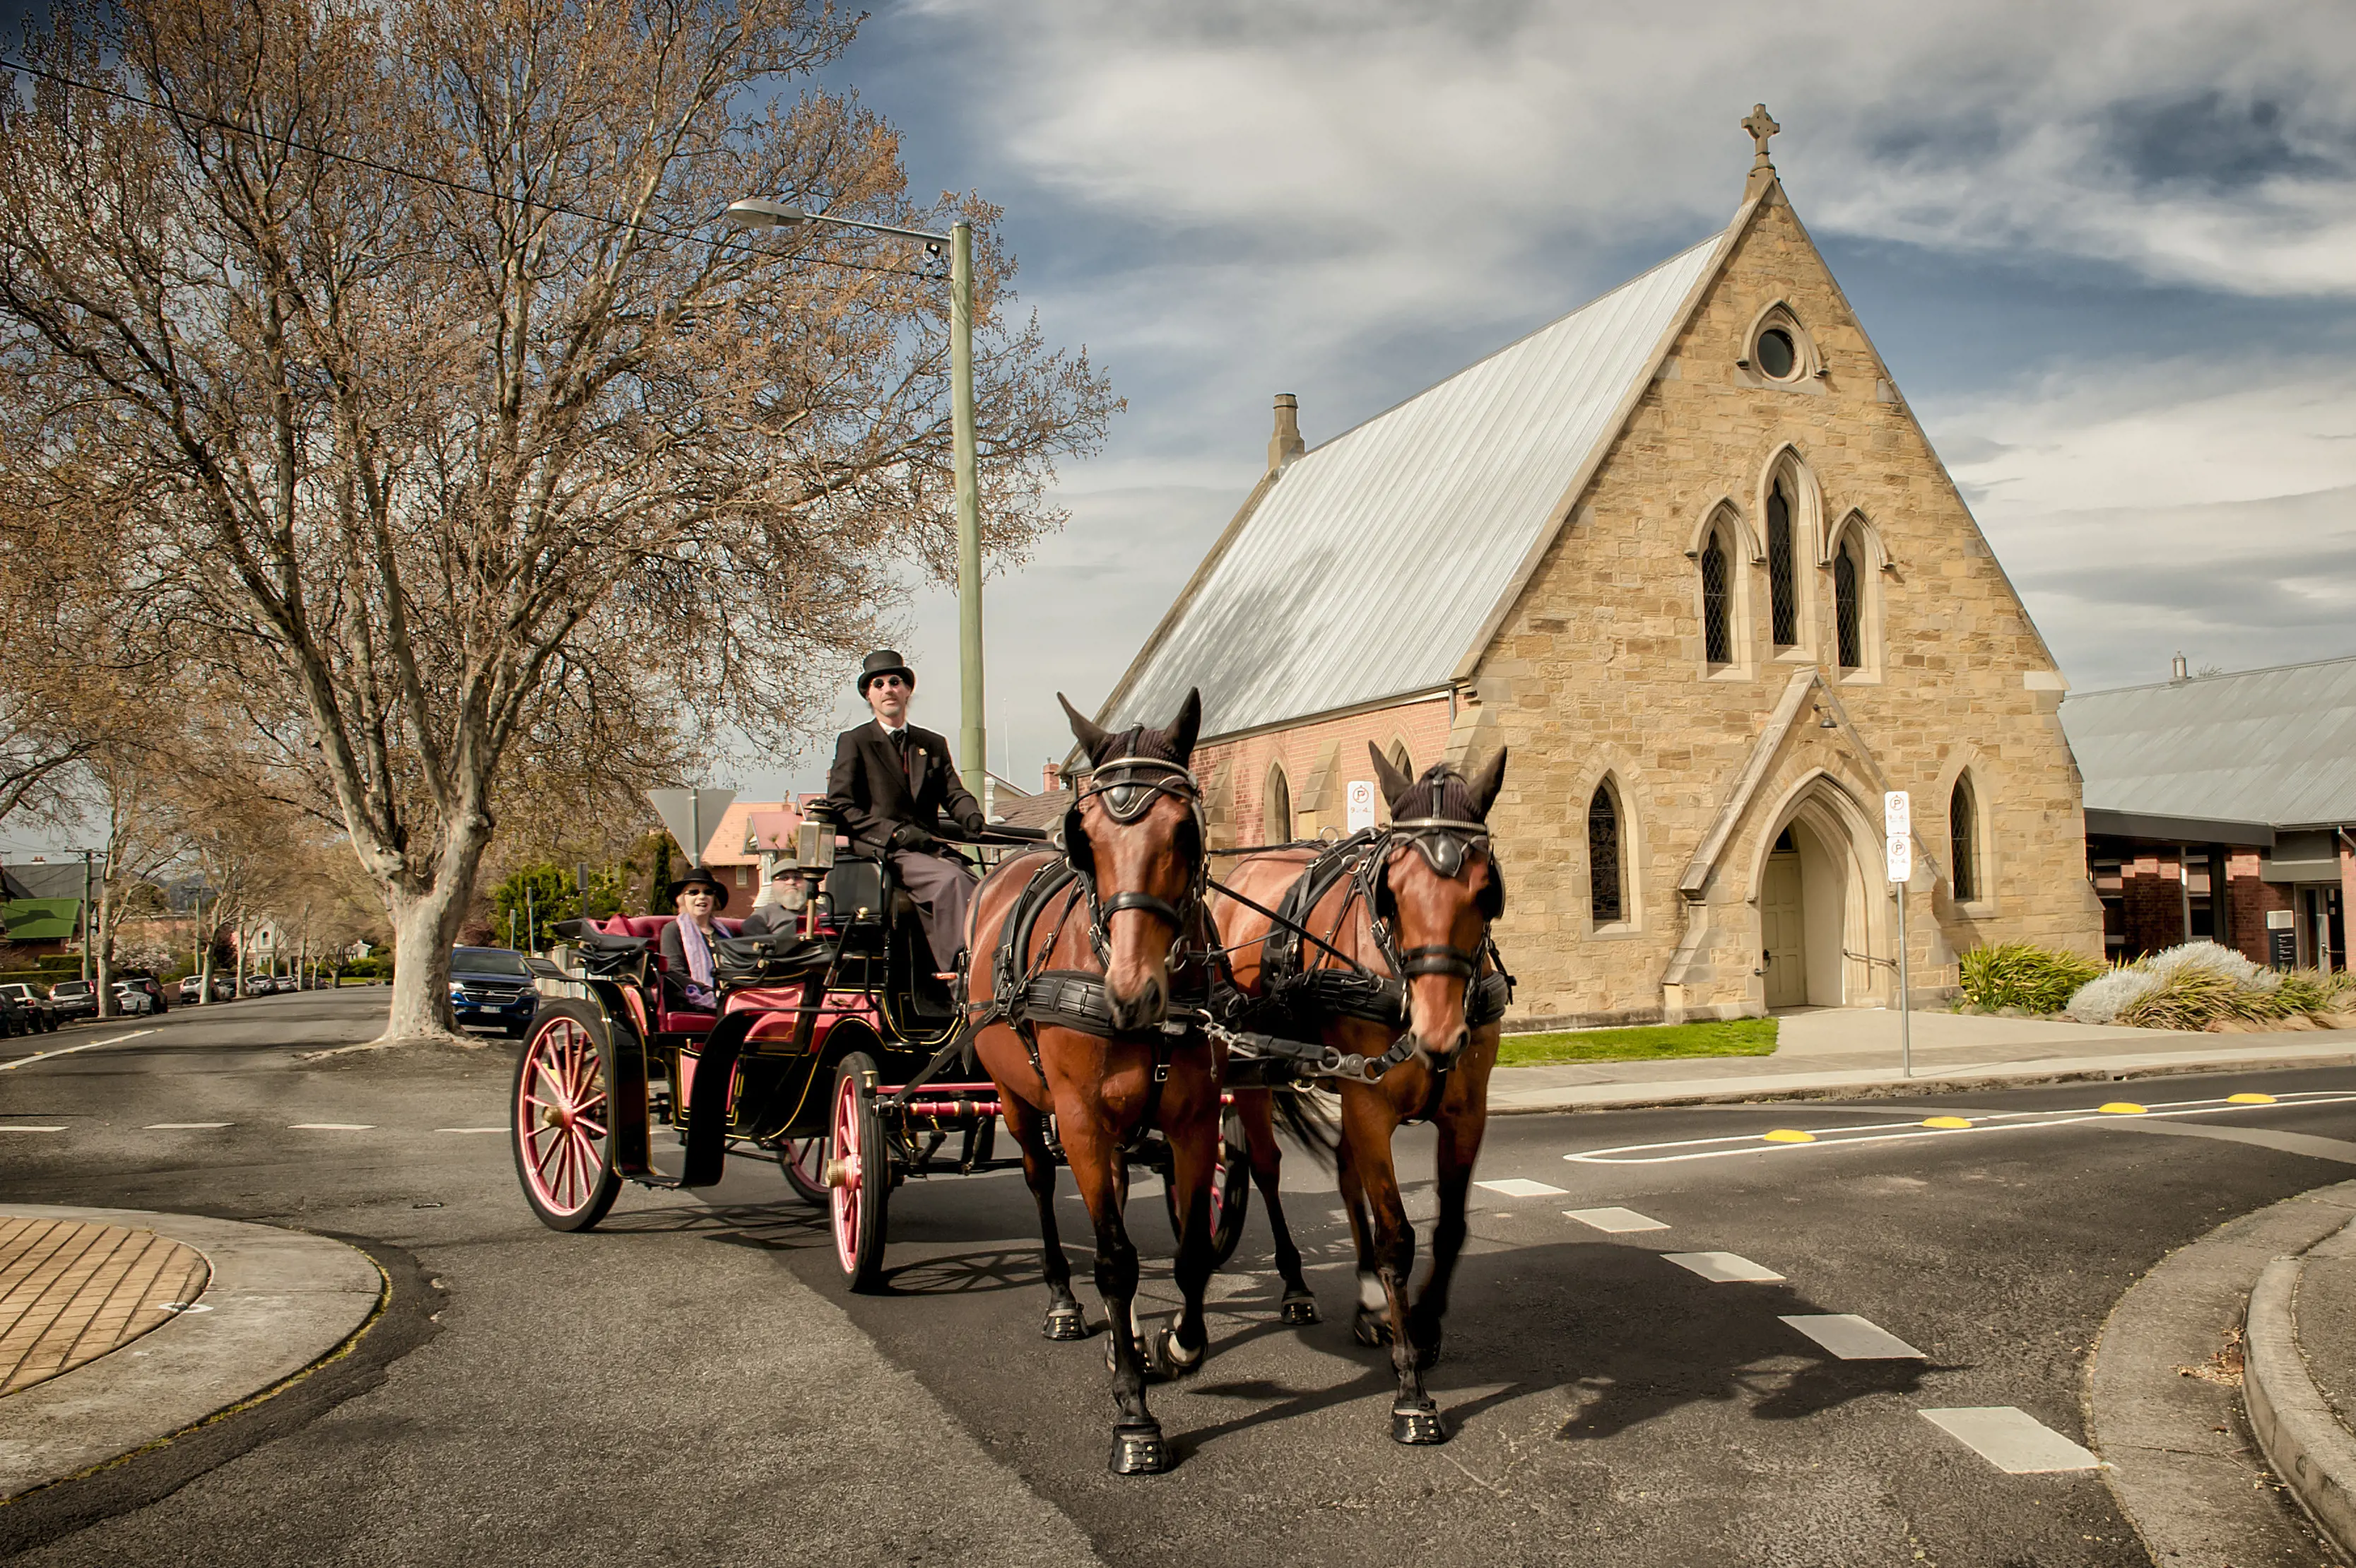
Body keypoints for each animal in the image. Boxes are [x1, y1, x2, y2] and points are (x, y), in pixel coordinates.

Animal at [961, 692, 1225, 1469]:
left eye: (1184, 830)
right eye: (1089, 840)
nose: (1133, 994)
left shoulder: (1196, 1120)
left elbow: (1190, 1251)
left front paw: (1174, 1346)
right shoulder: (1078, 1120)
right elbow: (1112, 1259)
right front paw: (1134, 1416)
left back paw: (1126, 1336)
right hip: (1021, 1104)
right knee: (1041, 1186)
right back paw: (1064, 1304)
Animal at [1215, 743, 1507, 1441]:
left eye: (1486, 890)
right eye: (1392, 893)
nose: (1438, 1034)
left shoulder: (1467, 1112)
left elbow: (1449, 1227)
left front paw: (1421, 1324)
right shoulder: (1371, 1105)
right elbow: (1397, 1236)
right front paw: (1412, 1391)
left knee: (1347, 1172)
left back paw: (1369, 1300)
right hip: (1253, 1073)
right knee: (1266, 1167)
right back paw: (1298, 1285)